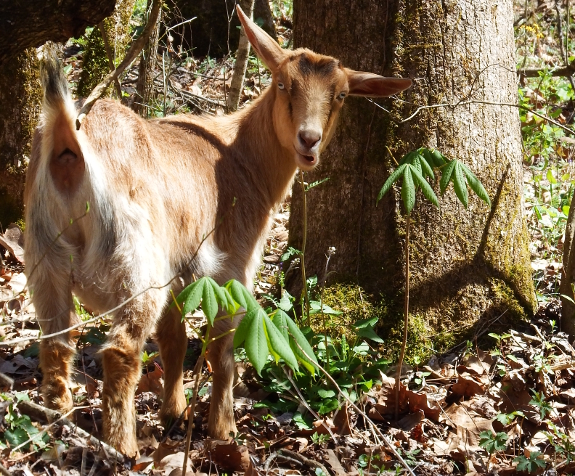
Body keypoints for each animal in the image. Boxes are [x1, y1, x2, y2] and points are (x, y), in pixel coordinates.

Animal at [24, 5, 412, 456]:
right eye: (283, 83)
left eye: (342, 95)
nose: (309, 140)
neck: (241, 156)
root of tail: (69, 143)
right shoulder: (232, 267)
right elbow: (222, 350)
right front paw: (223, 431)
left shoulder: (180, 276)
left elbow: (174, 339)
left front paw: (174, 412)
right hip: (135, 261)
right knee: (120, 351)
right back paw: (123, 448)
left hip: (44, 255)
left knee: (55, 344)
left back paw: (57, 426)